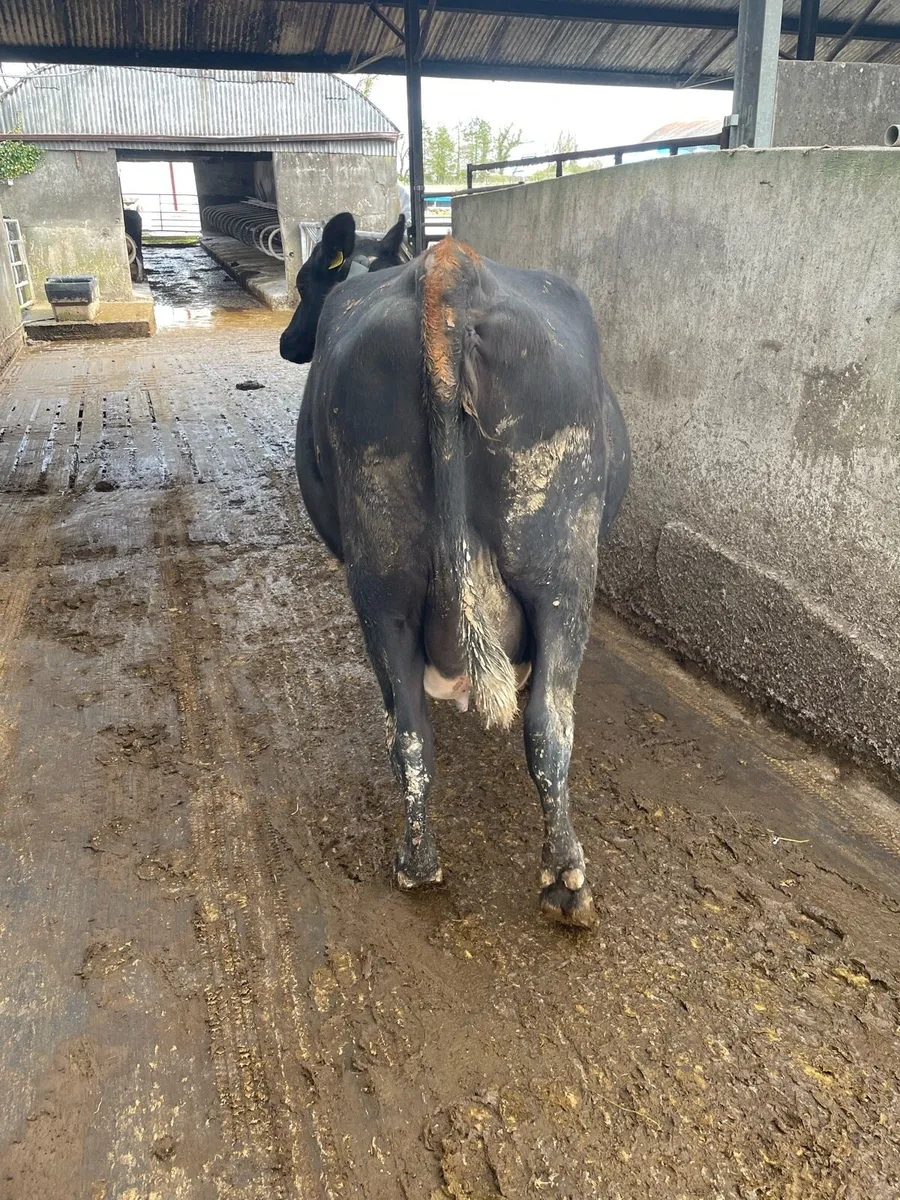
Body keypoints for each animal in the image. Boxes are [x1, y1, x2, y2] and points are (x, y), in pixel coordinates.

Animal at [280, 211, 630, 927]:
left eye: (306, 282)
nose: (286, 342)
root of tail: (452, 271)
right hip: (559, 572)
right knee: (544, 722)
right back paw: (555, 878)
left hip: (391, 583)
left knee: (420, 731)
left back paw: (437, 865)